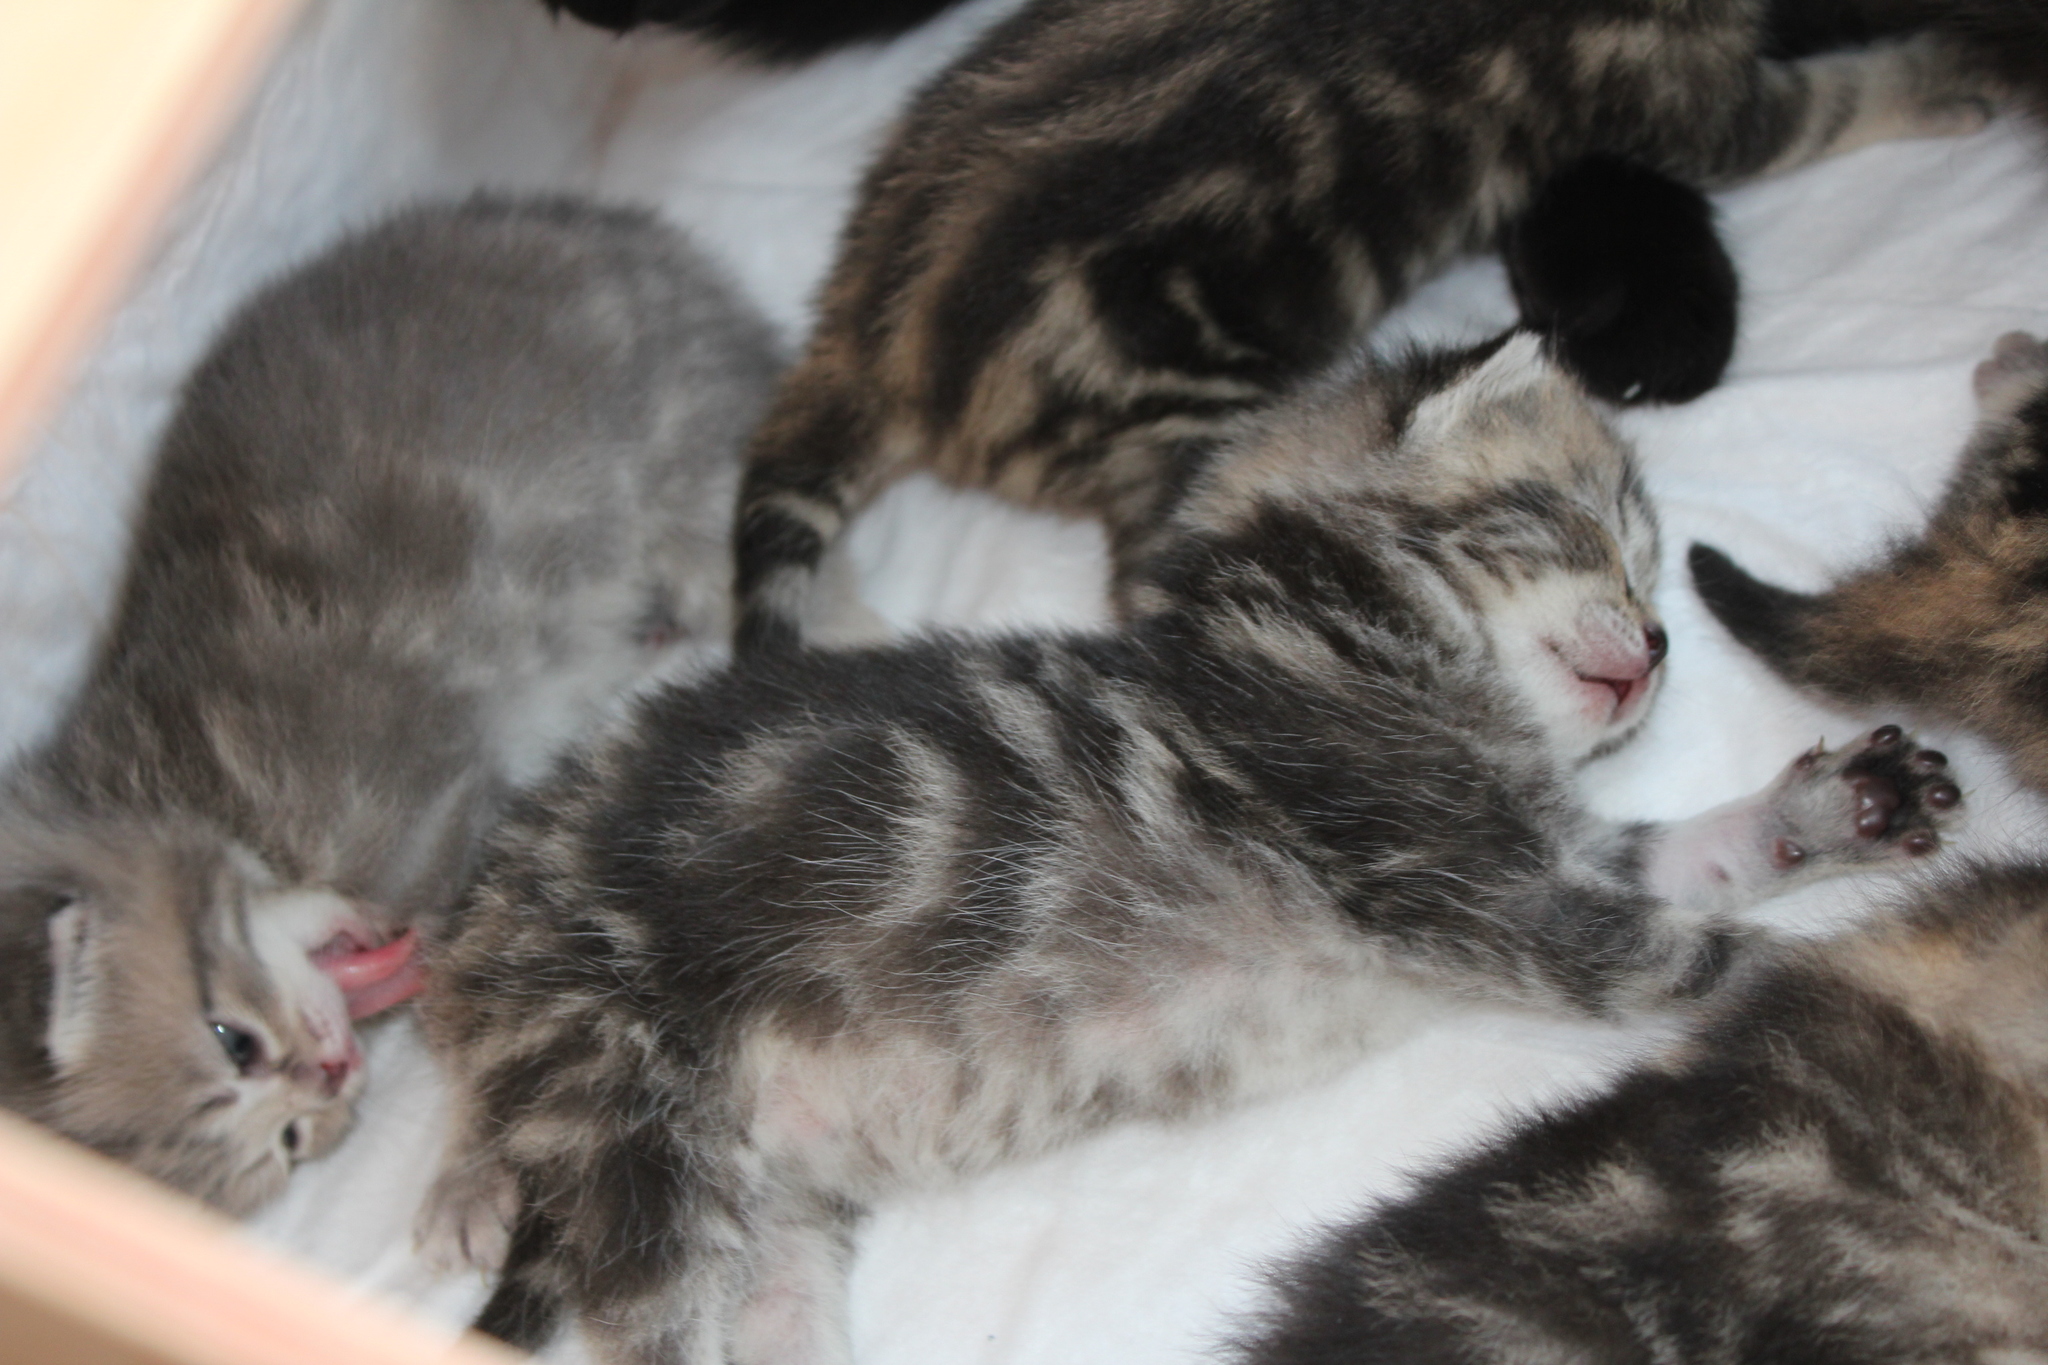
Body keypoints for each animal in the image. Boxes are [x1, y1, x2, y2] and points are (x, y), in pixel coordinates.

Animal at [0, 195, 786, 1216]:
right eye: (285, 1148)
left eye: (233, 1040)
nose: (330, 1076)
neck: (180, 789)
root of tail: (613, 228)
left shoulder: (442, 809)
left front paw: (471, 1172)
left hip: (677, 461)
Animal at [419, 331, 1962, 1365]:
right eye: (1578, 527)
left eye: (1654, 575)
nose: (1652, 646)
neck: (1343, 635)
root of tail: (497, 905)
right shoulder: (1454, 882)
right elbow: (1706, 953)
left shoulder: (1532, 858)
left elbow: (1688, 861)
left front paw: (1830, 809)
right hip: (632, 1117)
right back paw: (465, 1190)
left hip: (774, 1201)